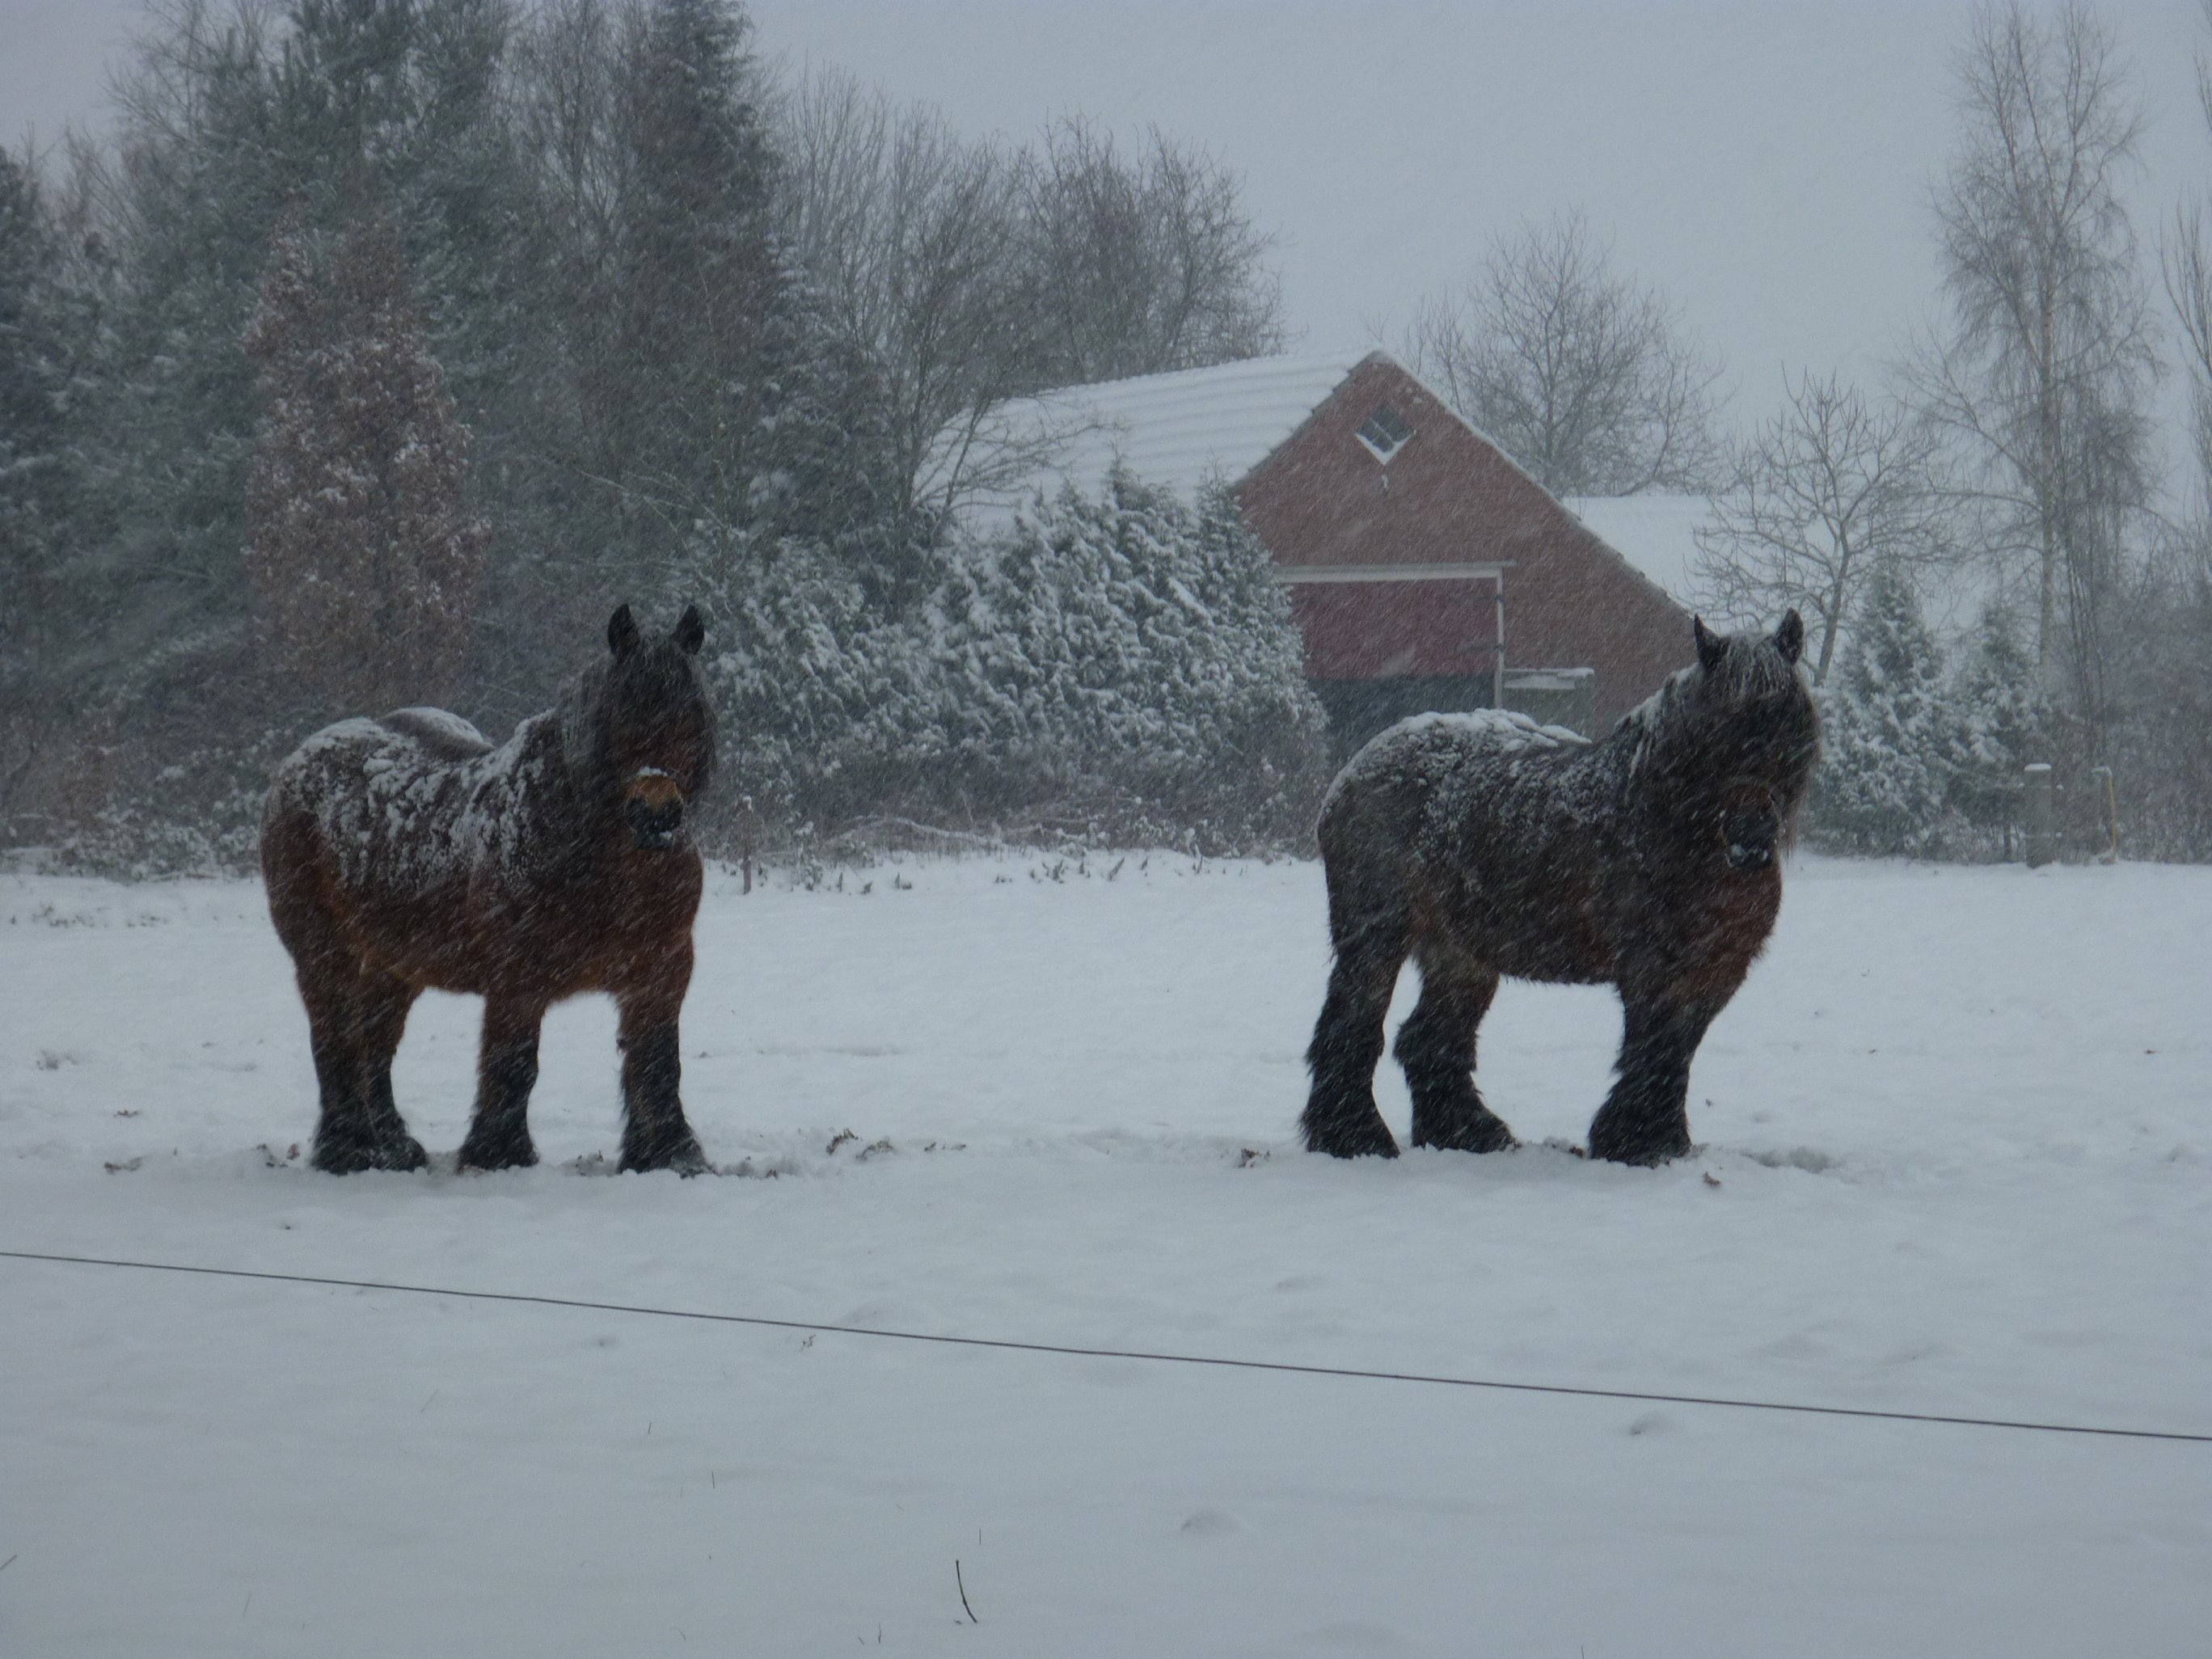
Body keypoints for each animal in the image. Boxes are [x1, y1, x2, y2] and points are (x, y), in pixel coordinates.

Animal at [261, 603, 719, 1176]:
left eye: (693, 717)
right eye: (621, 716)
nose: (657, 815)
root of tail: (297, 763)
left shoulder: (661, 971)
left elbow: (657, 1063)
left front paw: (668, 1155)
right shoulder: (517, 979)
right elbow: (514, 1064)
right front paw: (499, 1154)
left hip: (395, 963)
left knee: (376, 1040)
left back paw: (393, 1145)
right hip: (324, 952)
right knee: (337, 1037)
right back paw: (349, 1149)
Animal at [1302, 611, 1819, 1166]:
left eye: (1788, 721)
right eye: (1715, 728)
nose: (1751, 837)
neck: (1667, 821)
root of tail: (1353, 773)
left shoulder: (1716, 970)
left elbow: (1677, 1052)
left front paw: (1663, 1142)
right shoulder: (1652, 968)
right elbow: (1654, 1050)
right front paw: (1636, 1142)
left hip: (1461, 955)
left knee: (1428, 1039)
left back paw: (1468, 1133)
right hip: (1376, 938)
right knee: (1352, 1026)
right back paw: (1355, 1137)